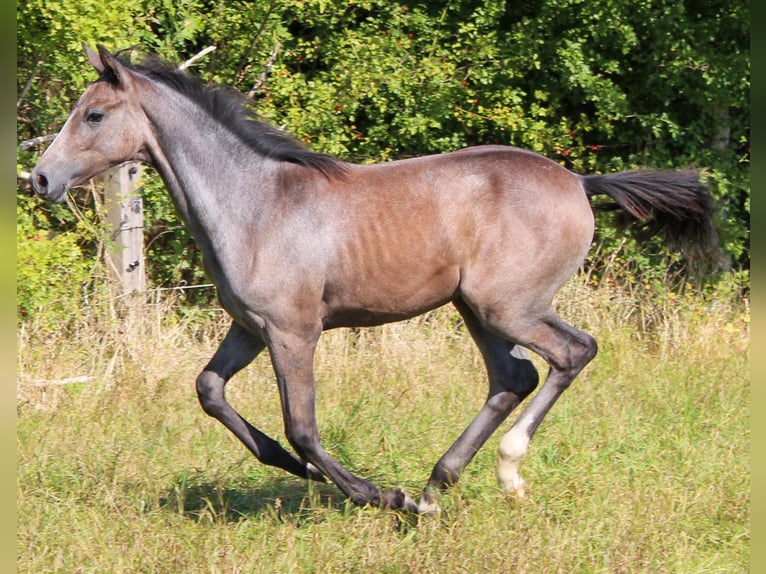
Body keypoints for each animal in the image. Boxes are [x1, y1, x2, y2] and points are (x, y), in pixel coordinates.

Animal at [27, 45, 716, 512]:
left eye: (94, 115)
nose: (40, 179)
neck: (255, 204)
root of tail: (579, 181)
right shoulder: (250, 327)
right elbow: (210, 391)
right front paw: (297, 471)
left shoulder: (294, 331)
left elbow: (302, 426)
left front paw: (376, 494)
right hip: (475, 309)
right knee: (512, 377)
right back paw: (436, 488)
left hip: (509, 306)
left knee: (573, 352)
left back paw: (500, 474)